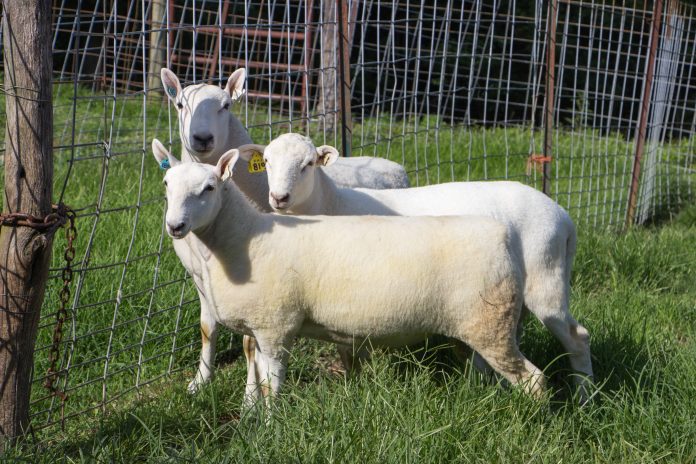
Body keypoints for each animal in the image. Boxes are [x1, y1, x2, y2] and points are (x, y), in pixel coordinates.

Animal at [154, 146, 546, 407]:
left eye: (209, 188)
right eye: (165, 184)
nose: (175, 226)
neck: (246, 238)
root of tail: (502, 236)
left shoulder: (276, 324)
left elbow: (273, 384)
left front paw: (270, 426)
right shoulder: (262, 327)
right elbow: (260, 378)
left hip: (491, 325)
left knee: (535, 381)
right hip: (479, 325)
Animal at [157, 69, 409, 392]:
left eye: (227, 105)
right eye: (179, 104)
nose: (202, 138)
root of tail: (390, 163)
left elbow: (251, 344)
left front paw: (251, 394)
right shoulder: (201, 277)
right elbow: (207, 328)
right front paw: (200, 382)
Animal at [236, 133, 593, 402]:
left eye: (308, 164)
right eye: (267, 162)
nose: (279, 197)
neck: (332, 204)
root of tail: (564, 219)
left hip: (545, 276)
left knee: (577, 337)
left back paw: (585, 398)